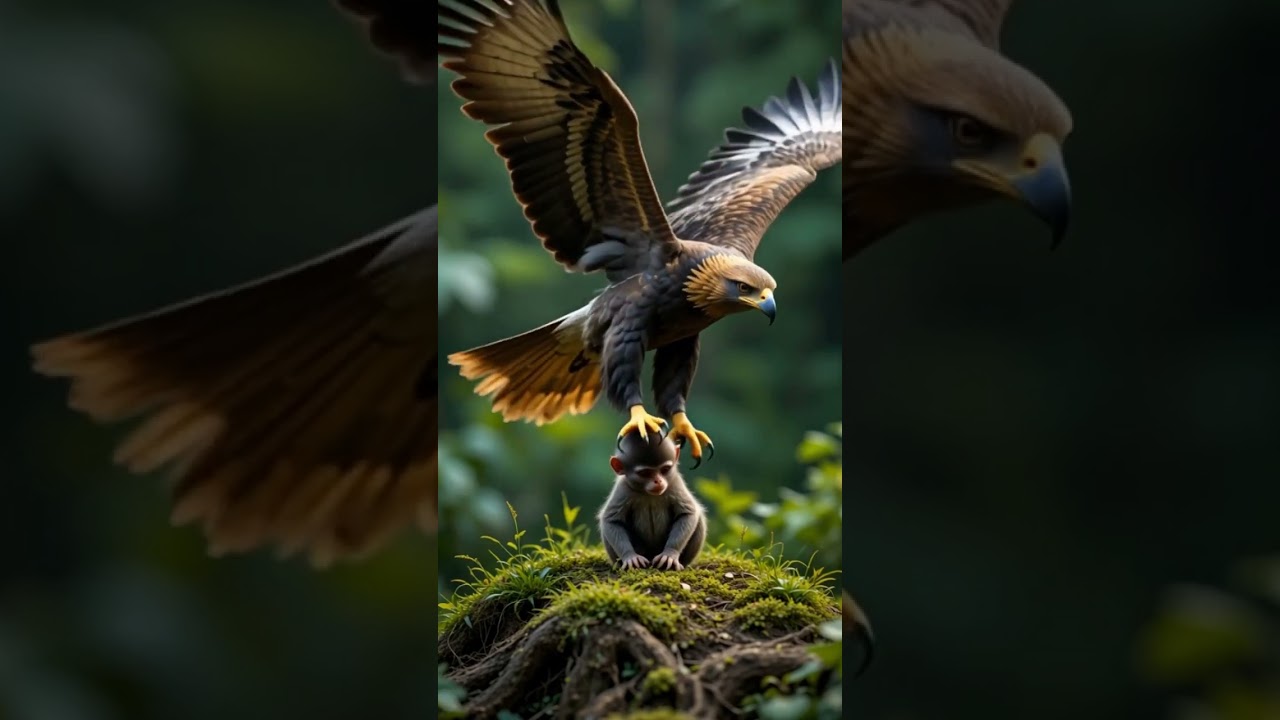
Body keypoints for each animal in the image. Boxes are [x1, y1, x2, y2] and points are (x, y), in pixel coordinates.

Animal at [598, 432, 707, 571]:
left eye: (665, 469)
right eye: (645, 473)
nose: (658, 481)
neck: (648, 494)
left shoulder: (675, 482)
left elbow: (688, 513)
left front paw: (670, 554)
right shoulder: (623, 488)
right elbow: (611, 521)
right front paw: (630, 556)